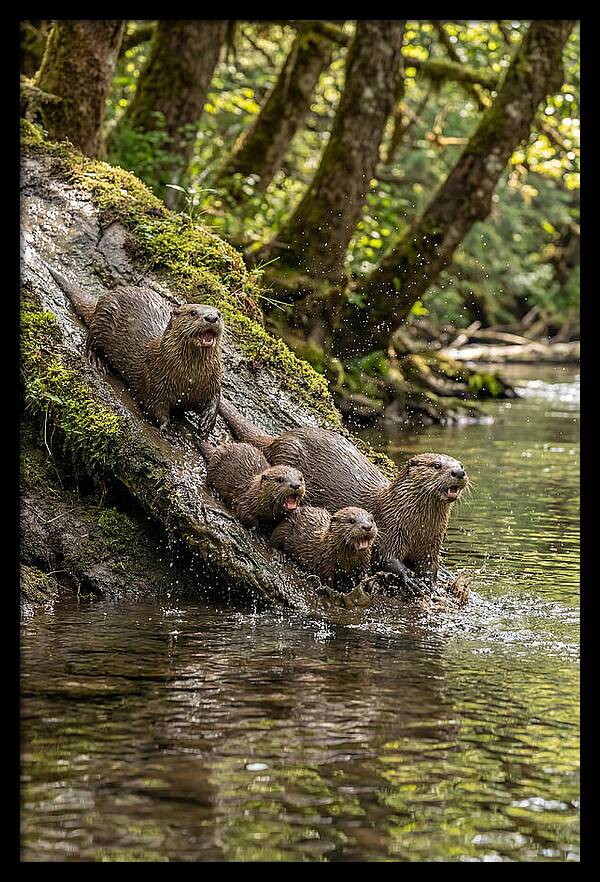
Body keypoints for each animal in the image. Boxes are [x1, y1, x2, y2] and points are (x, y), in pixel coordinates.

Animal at [47, 267, 223, 439]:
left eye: (220, 314)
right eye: (193, 312)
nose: (211, 317)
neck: (189, 380)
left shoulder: (212, 380)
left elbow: (215, 398)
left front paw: (207, 421)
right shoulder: (155, 381)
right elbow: (155, 407)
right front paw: (168, 429)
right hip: (102, 319)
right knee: (90, 340)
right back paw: (97, 361)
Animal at [218, 399, 469, 583]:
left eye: (461, 464)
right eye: (437, 465)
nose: (458, 472)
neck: (417, 527)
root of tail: (280, 438)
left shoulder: (432, 543)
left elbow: (430, 564)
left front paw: (431, 580)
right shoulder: (389, 531)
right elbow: (386, 557)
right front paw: (409, 578)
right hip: (287, 457)